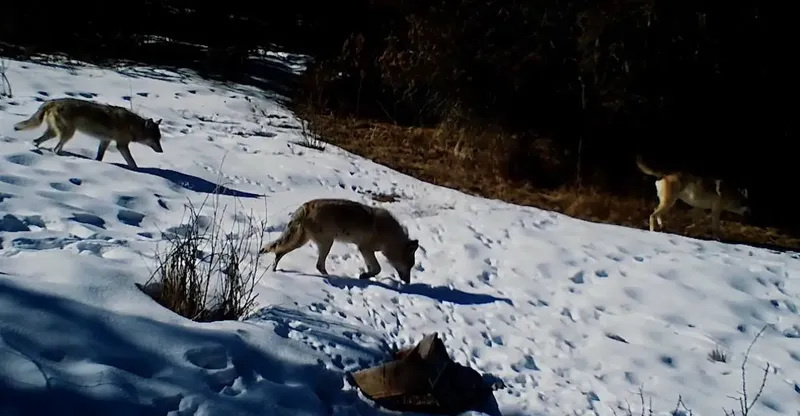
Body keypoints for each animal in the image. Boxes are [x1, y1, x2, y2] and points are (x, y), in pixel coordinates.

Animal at [14, 98, 164, 169]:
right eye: (155, 139)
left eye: (159, 138)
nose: (162, 151)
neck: (133, 126)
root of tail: (53, 101)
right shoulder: (121, 145)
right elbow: (132, 162)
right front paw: (138, 171)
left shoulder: (105, 141)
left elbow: (99, 157)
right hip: (68, 134)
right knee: (55, 149)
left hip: (55, 133)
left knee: (38, 141)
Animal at [260, 197, 422, 282]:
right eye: (409, 266)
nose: (407, 282)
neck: (389, 236)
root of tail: (305, 206)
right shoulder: (365, 248)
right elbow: (377, 269)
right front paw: (364, 276)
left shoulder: (366, 250)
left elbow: (373, 269)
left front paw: (365, 275)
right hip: (325, 242)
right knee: (318, 265)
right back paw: (333, 278)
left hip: (302, 241)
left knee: (279, 252)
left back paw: (274, 270)